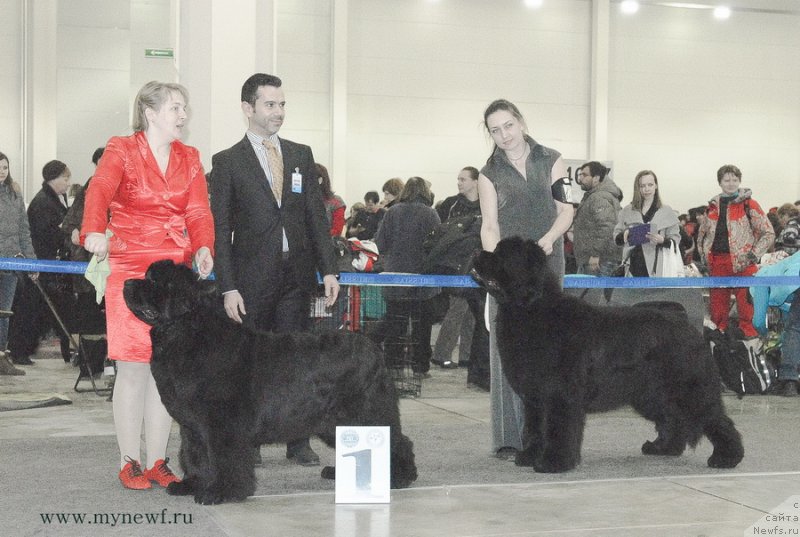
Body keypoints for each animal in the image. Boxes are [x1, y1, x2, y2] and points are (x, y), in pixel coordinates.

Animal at [123, 260, 418, 502]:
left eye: (153, 282)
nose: (126, 283)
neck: (186, 333)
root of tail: (373, 346)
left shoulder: (223, 424)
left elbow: (223, 458)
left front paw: (222, 492)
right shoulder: (192, 426)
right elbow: (194, 455)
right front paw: (192, 484)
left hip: (365, 412)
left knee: (396, 441)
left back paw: (398, 477)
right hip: (334, 420)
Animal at [476, 237, 744, 472]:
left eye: (501, 255)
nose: (478, 253)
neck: (532, 308)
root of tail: (690, 326)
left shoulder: (560, 395)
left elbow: (557, 429)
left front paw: (553, 463)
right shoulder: (534, 397)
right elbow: (533, 429)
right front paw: (530, 456)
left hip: (689, 390)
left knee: (716, 419)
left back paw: (726, 457)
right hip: (652, 394)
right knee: (673, 418)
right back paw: (663, 448)